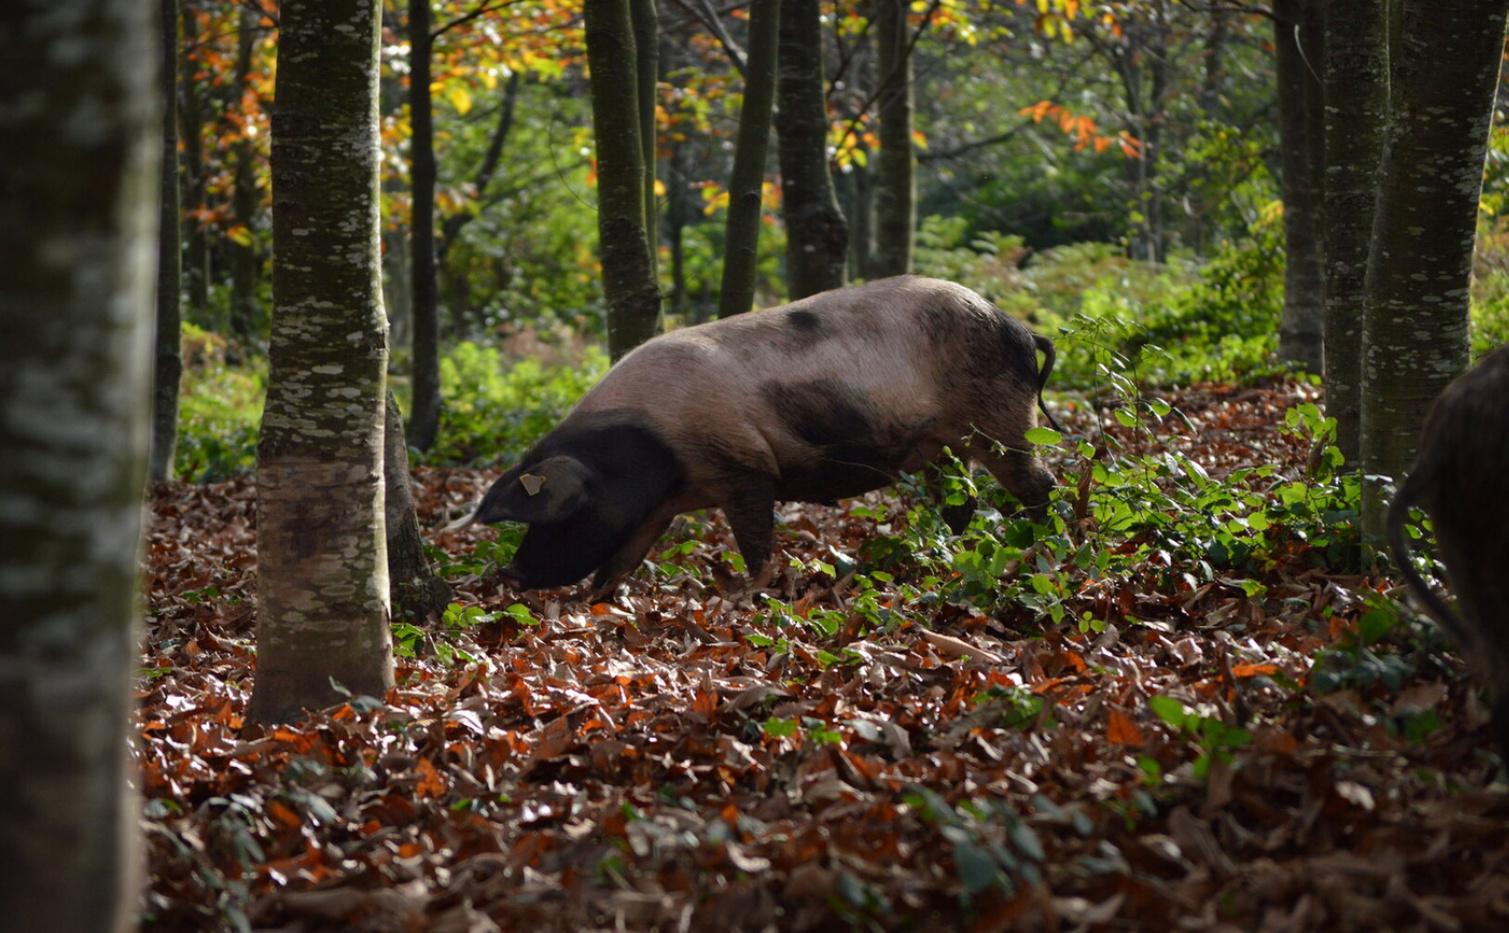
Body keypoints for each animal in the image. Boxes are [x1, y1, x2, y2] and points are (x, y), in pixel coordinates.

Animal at [453, 275, 1059, 595]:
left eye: (561, 514)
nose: (510, 570)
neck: (654, 450)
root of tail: (1020, 327)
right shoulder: (654, 510)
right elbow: (619, 563)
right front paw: (596, 602)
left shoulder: (744, 468)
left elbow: (755, 542)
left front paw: (755, 592)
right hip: (945, 447)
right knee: (963, 501)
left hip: (1002, 420)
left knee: (1040, 483)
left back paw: (1045, 544)